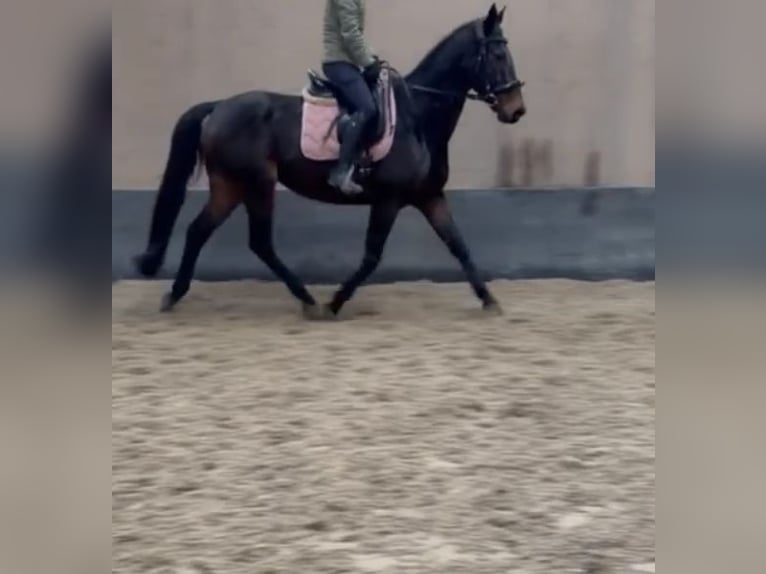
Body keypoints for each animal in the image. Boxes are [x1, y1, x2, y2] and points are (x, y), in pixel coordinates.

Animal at [133, 4, 526, 319]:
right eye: (497, 55)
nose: (516, 110)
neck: (418, 114)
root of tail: (218, 107)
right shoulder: (389, 199)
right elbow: (372, 256)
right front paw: (335, 302)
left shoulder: (429, 196)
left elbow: (459, 246)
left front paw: (490, 300)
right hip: (257, 183)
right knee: (259, 242)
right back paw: (308, 301)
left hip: (230, 185)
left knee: (199, 230)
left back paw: (175, 294)